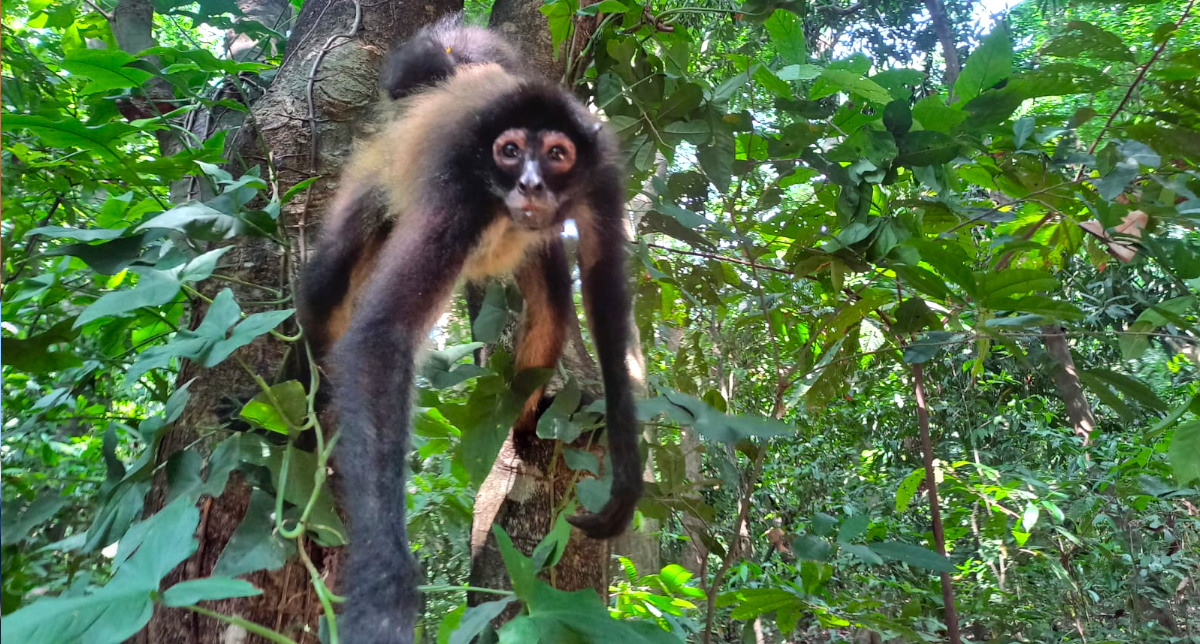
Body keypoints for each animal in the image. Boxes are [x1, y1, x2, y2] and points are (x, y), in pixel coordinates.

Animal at [296, 19, 642, 644]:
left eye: (556, 155)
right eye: (510, 153)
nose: (530, 184)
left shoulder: (600, 174)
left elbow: (604, 296)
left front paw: (627, 474)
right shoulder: (459, 195)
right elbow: (381, 335)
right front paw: (384, 582)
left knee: (553, 304)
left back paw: (526, 421)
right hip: (376, 177)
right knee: (327, 282)